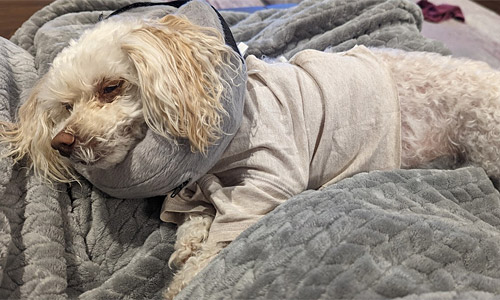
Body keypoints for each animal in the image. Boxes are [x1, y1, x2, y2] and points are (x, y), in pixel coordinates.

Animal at [2, 12, 500, 300]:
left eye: (111, 87)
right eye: (65, 107)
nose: (63, 142)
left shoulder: (269, 179)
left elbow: (220, 242)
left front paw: (186, 281)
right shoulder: (198, 185)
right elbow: (193, 215)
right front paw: (188, 239)